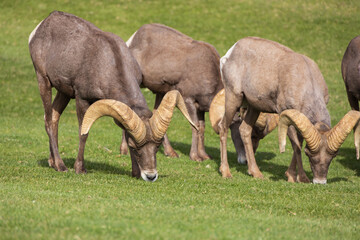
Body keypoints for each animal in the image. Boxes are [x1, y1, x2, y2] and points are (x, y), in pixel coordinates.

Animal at [29, 9, 195, 182]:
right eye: (135, 147)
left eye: (157, 146)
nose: (150, 175)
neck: (109, 64)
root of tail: (44, 23)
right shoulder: (82, 99)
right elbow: (83, 133)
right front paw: (80, 169)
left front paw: (135, 173)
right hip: (43, 80)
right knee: (49, 120)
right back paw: (61, 166)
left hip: (64, 92)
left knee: (53, 118)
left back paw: (53, 163)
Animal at [125, 23, 224, 161]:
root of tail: (130, 41)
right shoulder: (188, 100)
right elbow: (195, 126)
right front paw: (195, 157)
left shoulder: (200, 108)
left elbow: (202, 128)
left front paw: (204, 156)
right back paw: (124, 151)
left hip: (162, 92)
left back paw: (170, 152)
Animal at [218, 37, 360, 184]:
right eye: (308, 153)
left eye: (333, 156)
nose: (319, 181)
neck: (306, 84)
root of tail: (230, 53)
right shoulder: (285, 113)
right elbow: (296, 145)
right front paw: (300, 178)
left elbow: (299, 142)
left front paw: (292, 175)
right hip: (234, 97)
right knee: (223, 127)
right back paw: (226, 172)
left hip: (254, 107)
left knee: (245, 130)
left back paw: (256, 173)